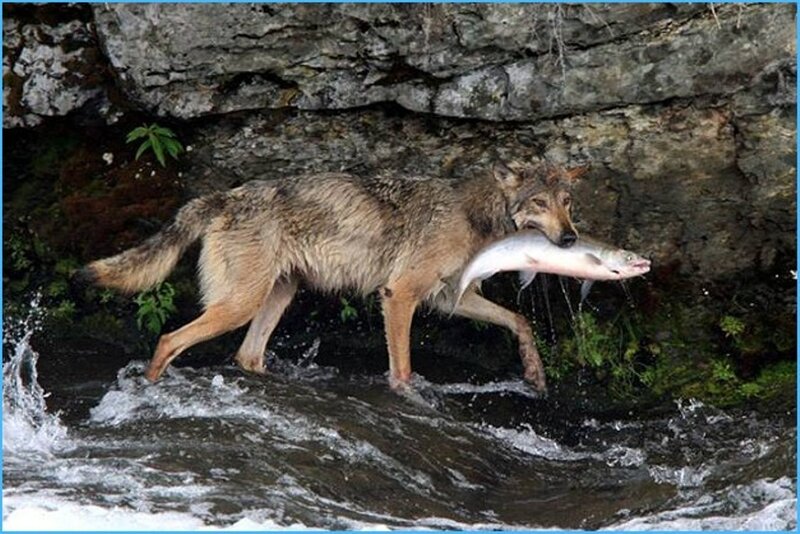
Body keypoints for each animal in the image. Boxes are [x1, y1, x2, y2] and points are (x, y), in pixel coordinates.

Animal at [78, 160, 585, 392]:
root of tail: (225, 196)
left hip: (275, 299)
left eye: (567, 203)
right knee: (168, 339)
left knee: (247, 355)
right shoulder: (399, 295)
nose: (570, 239)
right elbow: (402, 370)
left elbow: (520, 321)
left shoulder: (448, 299)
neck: (476, 216)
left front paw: (535, 372)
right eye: (539, 203)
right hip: (238, 305)